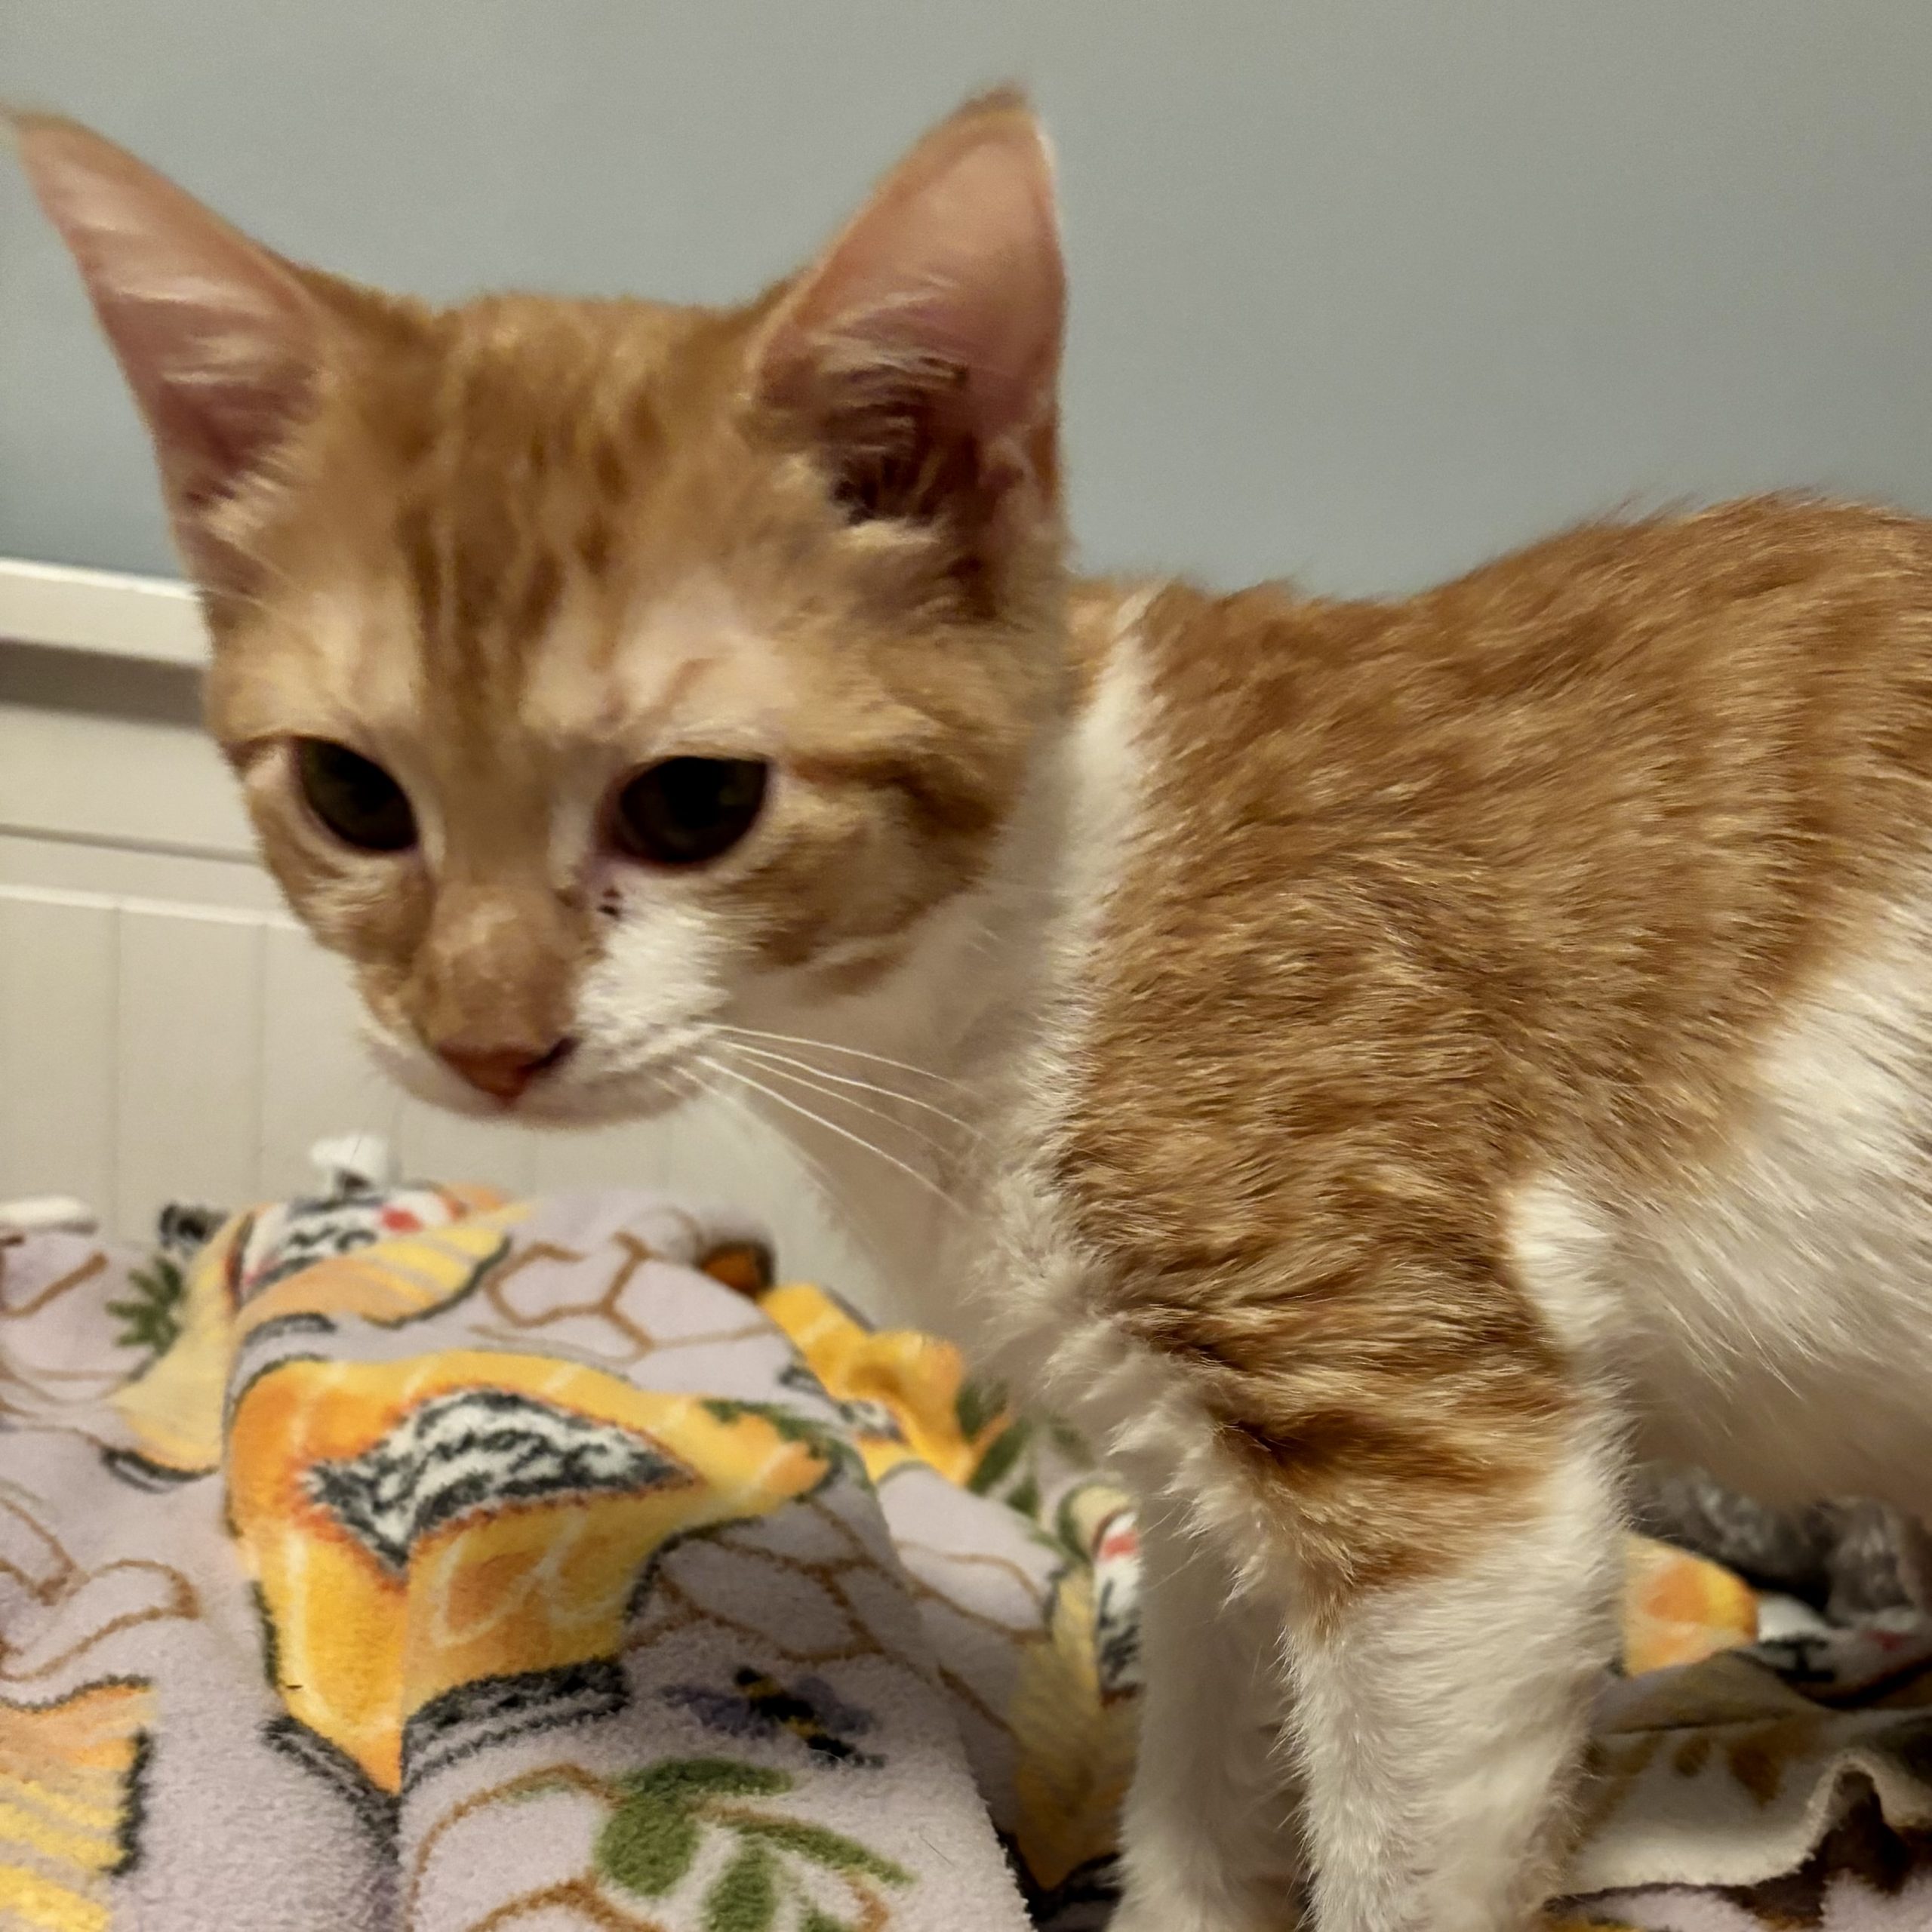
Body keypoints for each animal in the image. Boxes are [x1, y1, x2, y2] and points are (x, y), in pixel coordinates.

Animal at [19, 90, 1932, 1932]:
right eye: (351, 793)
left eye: (692, 802)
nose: (485, 1041)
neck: (1007, 945)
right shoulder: (1193, 1480)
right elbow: (1203, 1770)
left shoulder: (1457, 1478)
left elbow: (1403, 1841)